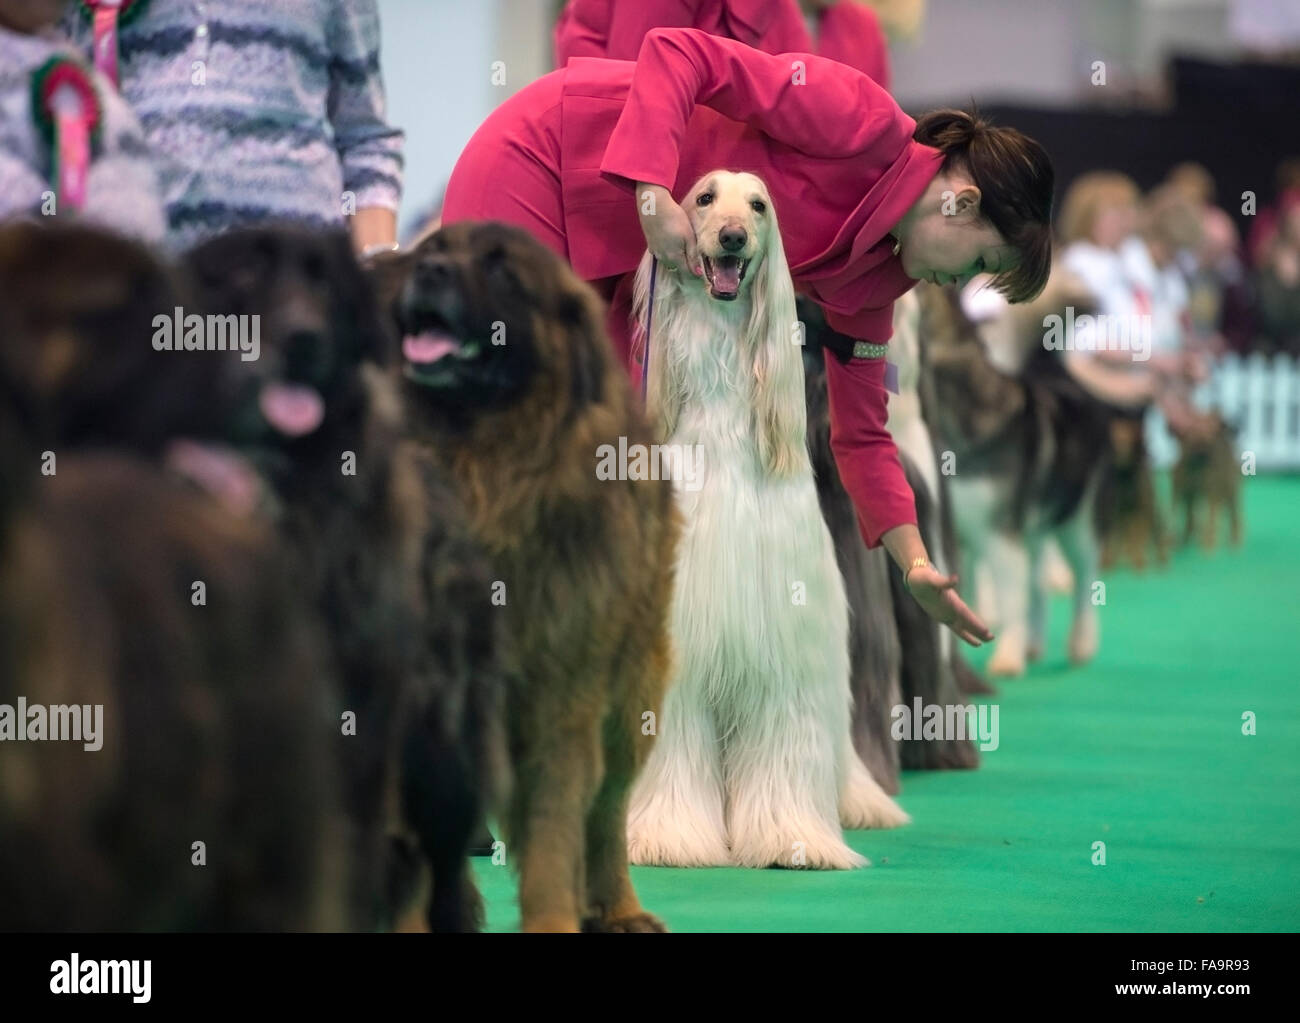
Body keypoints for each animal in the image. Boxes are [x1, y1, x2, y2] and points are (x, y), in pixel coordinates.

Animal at [374, 223, 681, 935]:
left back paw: (619, 908)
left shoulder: (560, 693)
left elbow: (553, 832)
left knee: (606, 813)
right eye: (433, 250)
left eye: (501, 270)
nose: (426, 272)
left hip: (630, 695)